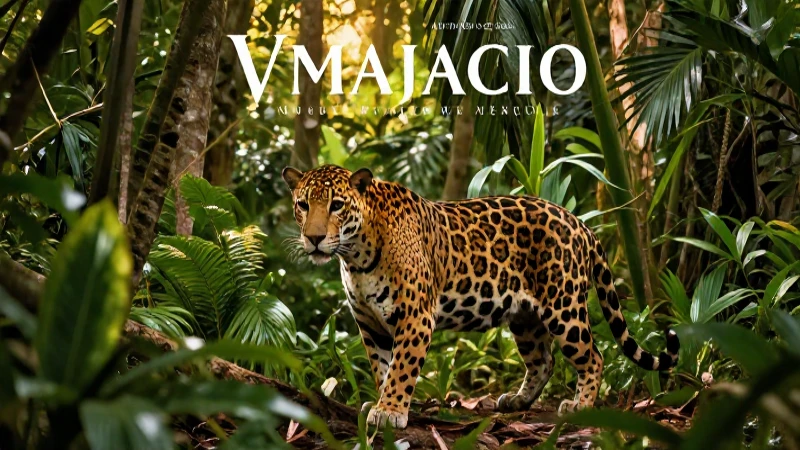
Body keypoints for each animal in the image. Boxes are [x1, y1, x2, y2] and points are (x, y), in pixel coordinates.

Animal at [282, 164, 679, 429]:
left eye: (336, 205)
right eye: (303, 204)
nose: (314, 239)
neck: (356, 256)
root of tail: (580, 223)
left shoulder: (415, 318)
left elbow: (401, 368)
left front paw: (391, 410)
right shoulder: (370, 325)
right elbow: (382, 367)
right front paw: (382, 402)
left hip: (563, 305)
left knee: (593, 356)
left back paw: (580, 406)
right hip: (526, 318)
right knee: (543, 360)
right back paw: (518, 399)